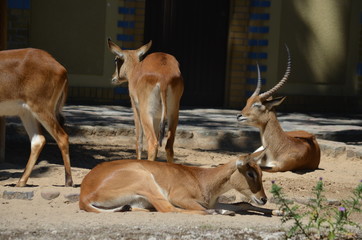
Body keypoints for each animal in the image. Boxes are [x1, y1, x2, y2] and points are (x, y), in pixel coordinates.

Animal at [0, 47, 73, 187]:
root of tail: (60, 67)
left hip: (40, 109)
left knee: (62, 137)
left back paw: (68, 182)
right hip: (26, 113)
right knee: (38, 140)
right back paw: (20, 182)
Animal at [78, 150, 274, 216]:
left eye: (261, 172)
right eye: (250, 173)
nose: (264, 198)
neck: (202, 178)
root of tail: (84, 195)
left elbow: (243, 204)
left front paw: (275, 211)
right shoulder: (180, 198)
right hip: (146, 180)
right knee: (168, 209)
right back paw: (221, 212)